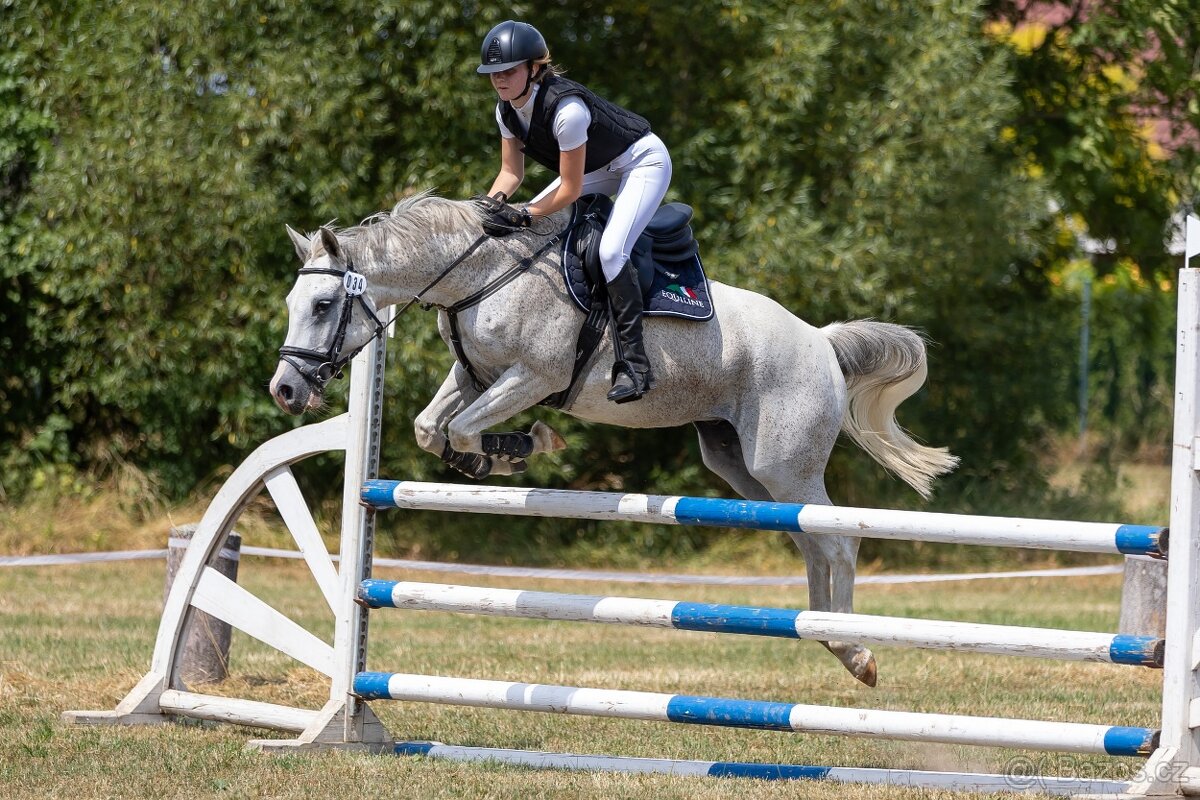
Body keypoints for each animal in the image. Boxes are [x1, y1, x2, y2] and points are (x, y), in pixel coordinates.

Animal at [269, 193, 959, 686]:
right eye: (294, 302)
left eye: (325, 304)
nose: (285, 390)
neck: (480, 276)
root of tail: (821, 340)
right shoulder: (477, 375)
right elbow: (429, 426)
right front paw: (487, 458)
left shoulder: (534, 376)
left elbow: (464, 428)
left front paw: (524, 448)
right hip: (741, 467)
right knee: (810, 540)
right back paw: (822, 634)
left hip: (783, 464)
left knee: (838, 539)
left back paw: (854, 650)